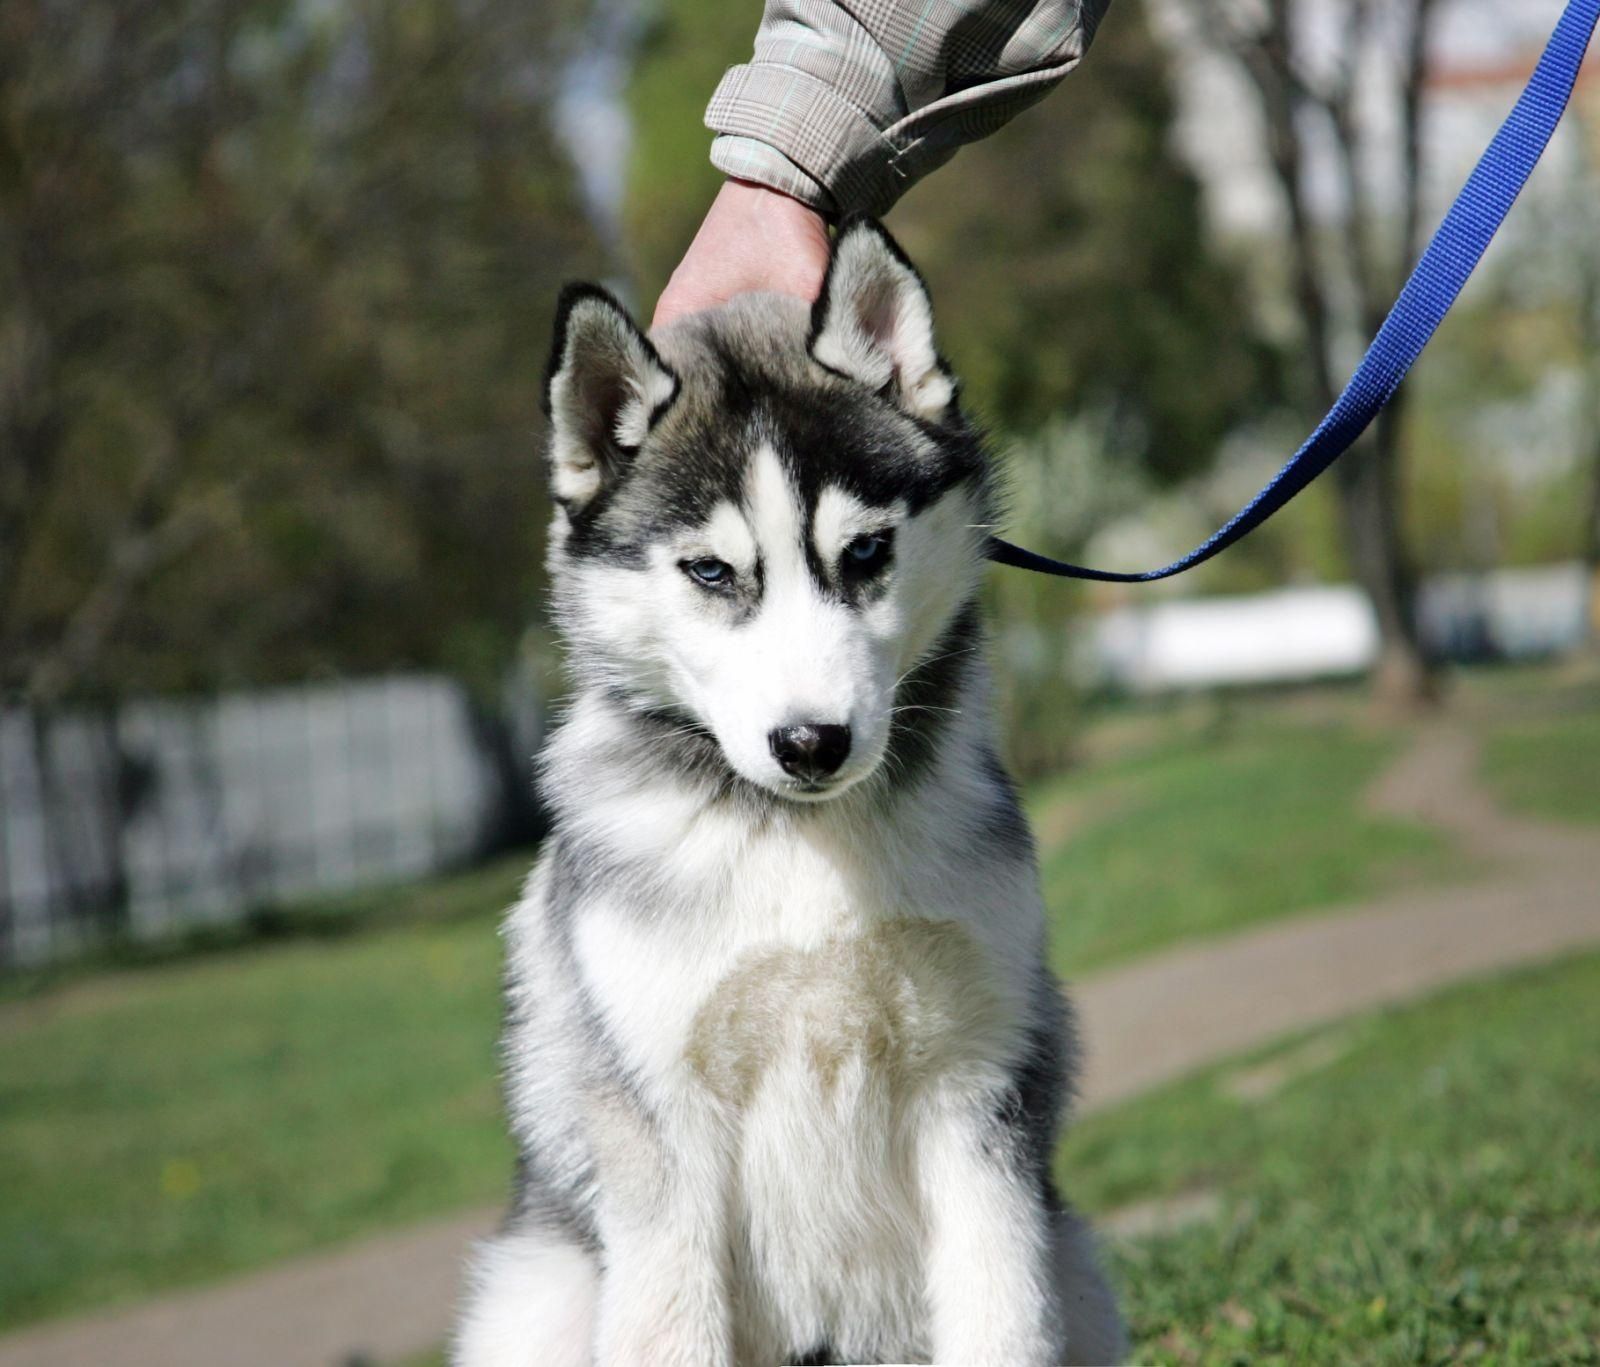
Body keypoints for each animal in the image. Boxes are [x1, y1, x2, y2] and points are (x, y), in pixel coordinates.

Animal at [451, 219, 1126, 1363]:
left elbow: (999, 1313)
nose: (812, 742)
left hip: (1072, 1258)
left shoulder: (977, 1090)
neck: (803, 846)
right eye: (711, 572)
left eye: (866, 551)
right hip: (539, 1293)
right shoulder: (660, 1131)